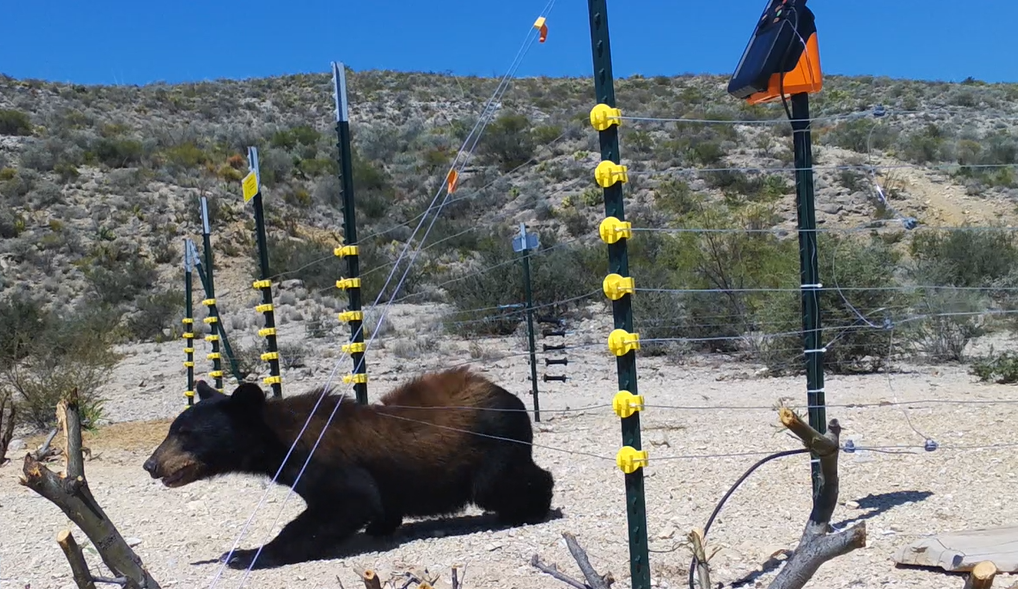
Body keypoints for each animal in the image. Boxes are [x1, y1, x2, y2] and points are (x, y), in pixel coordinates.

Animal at [142, 367, 554, 569]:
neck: (280, 440)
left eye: (185, 434)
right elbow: (377, 501)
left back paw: (531, 508)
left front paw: (245, 554)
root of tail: (514, 398)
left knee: (507, 481)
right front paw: (382, 526)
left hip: (492, 446)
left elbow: (346, 502)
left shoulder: (324, 459)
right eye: (173, 429)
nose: (150, 464)